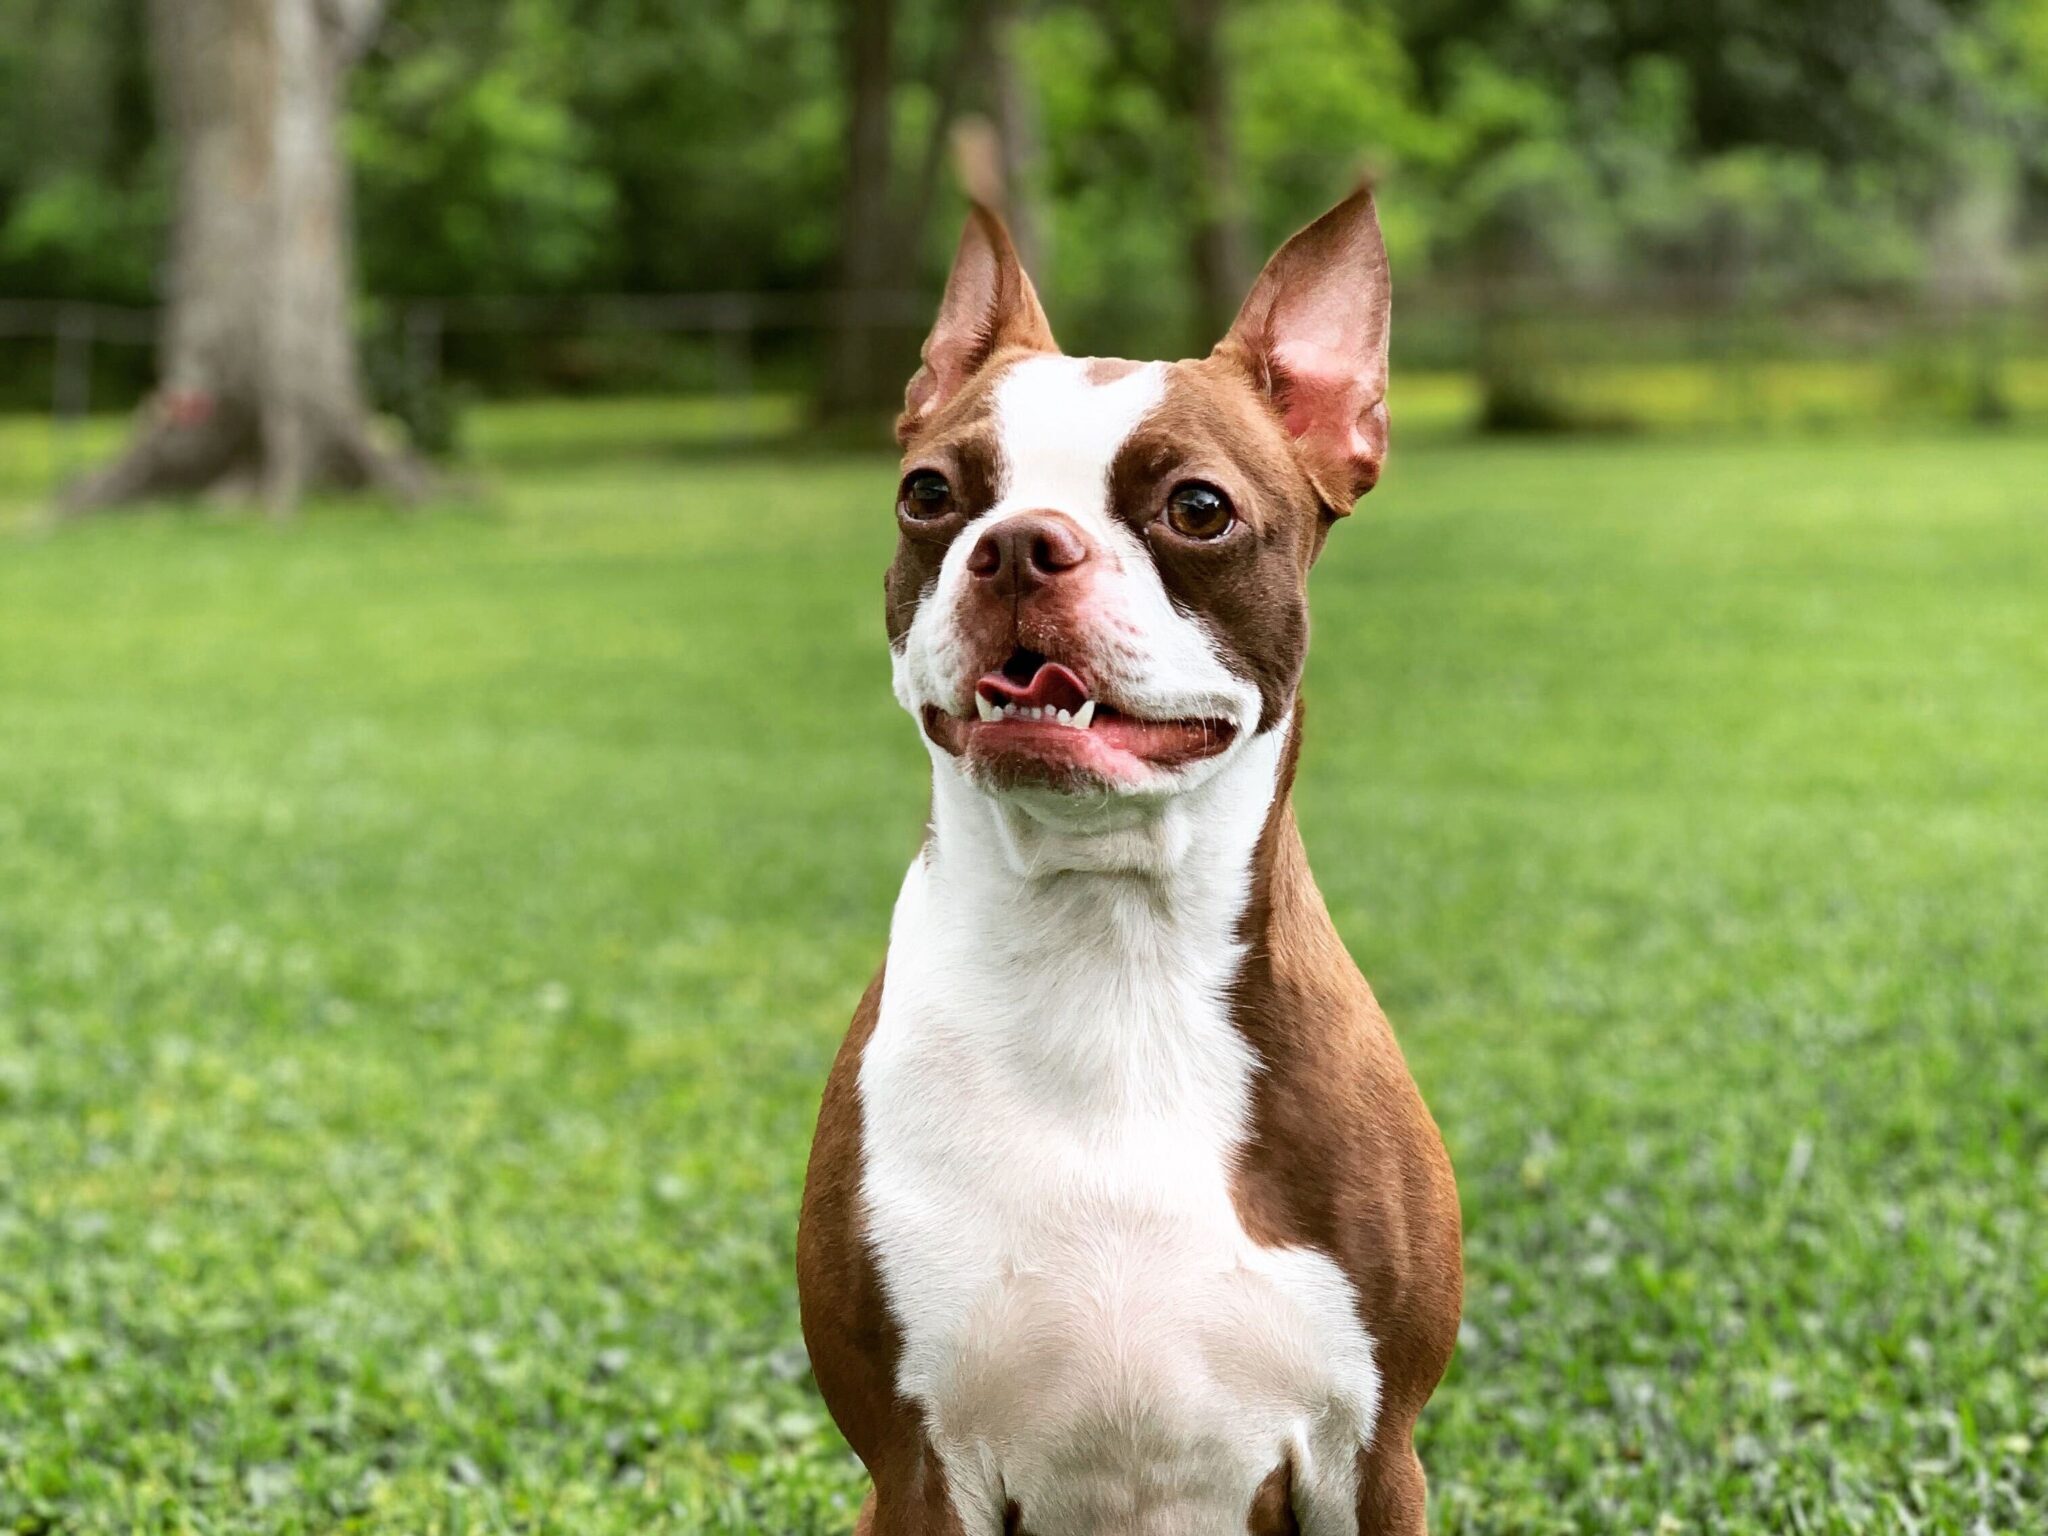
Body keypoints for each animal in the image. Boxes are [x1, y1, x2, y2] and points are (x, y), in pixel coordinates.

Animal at [794, 186, 1458, 1531]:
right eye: (928, 494)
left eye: (1195, 508)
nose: (1017, 543)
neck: (1107, 944)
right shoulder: (913, 1459)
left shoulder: (1373, 1452)